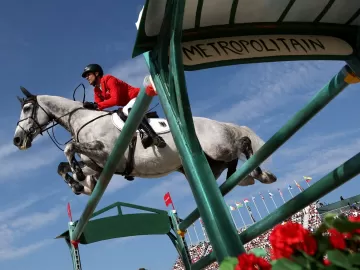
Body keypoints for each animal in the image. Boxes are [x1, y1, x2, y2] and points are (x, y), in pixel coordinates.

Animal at [12, 87, 278, 195]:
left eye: (27, 108)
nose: (16, 140)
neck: (82, 119)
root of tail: (220, 124)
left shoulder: (105, 152)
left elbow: (68, 148)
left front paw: (76, 177)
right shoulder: (97, 165)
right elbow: (62, 166)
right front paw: (76, 183)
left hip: (218, 146)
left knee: (244, 143)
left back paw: (263, 174)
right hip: (213, 161)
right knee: (233, 164)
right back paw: (250, 176)